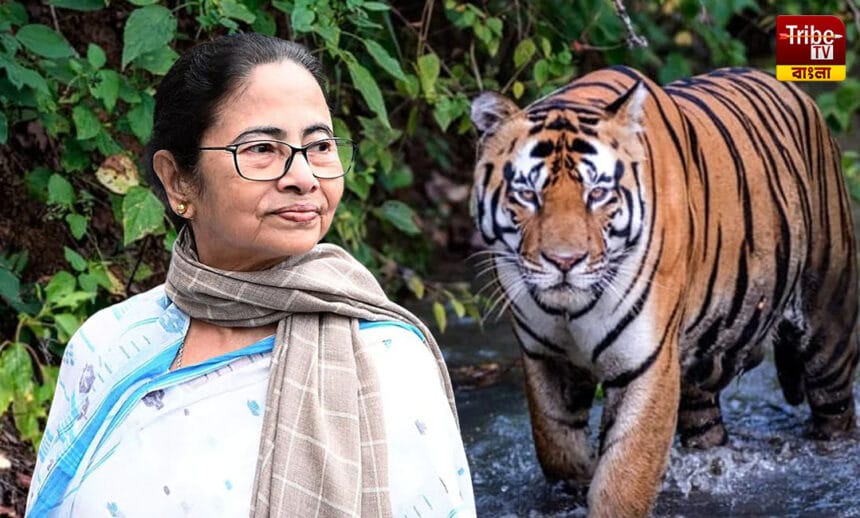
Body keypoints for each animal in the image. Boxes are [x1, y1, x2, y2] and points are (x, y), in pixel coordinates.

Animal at [469, 66, 858, 517]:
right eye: (528, 195)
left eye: (597, 193)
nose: (565, 262)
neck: (569, 311)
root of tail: (789, 86)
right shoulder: (545, 356)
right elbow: (558, 449)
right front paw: (578, 479)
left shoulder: (646, 362)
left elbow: (623, 478)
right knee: (705, 426)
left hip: (828, 327)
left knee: (835, 414)